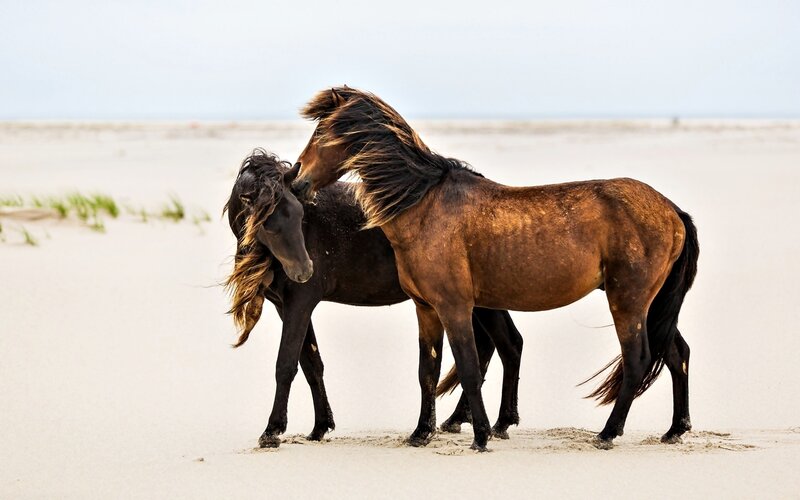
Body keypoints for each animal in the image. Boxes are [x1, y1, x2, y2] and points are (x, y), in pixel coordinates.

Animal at [224, 149, 525, 447]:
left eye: (299, 216)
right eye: (267, 224)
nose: (304, 271)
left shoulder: (301, 302)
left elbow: (286, 364)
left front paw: (272, 431)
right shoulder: (286, 306)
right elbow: (311, 364)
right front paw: (320, 426)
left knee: (504, 345)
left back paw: (493, 423)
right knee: (500, 344)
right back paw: (471, 421)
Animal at [291, 87, 699, 451]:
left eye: (320, 133)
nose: (296, 180)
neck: (425, 205)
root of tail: (673, 210)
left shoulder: (454, 308)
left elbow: (469, 368)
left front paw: (481, 436)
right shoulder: (426, 309)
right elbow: (428, 372)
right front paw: (421, 433)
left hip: (627, 302)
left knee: (638, 360)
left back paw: (607, 434)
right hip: (653, 306)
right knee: (676, 354)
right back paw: (674, 430)